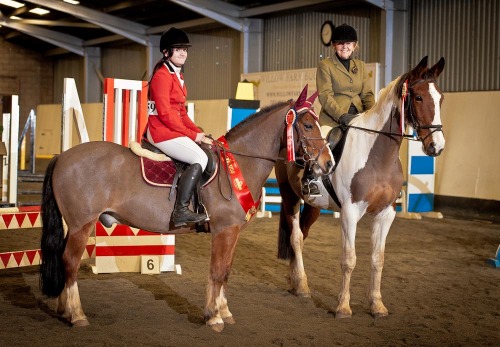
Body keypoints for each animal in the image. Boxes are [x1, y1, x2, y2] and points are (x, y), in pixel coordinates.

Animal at [39, 85, 334, 334]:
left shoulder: (233, 232)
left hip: (72, 226)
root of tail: (62, 156)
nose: (328, 164)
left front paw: (224, 311)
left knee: (64, 260)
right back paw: (77, 315)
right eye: (308, 124)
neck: (237, 163)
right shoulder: (224, 231)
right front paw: (213, 317)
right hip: (82, 225)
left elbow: (226, 271)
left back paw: (64, 310)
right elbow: (217, 272)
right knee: (70, 262)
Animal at [278, 55, 446, 320]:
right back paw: (302, 286)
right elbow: (349, 259)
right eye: (418, 97)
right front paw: (343, 307)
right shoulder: (350, 212)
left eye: (441, 98)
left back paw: (295, 280)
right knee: (295, 237)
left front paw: (377, 305)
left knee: (303, 236)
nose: (436, 146)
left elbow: (378, 259)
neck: (377, 155)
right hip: (290, 197)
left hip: (315, 206)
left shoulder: (386, 214)